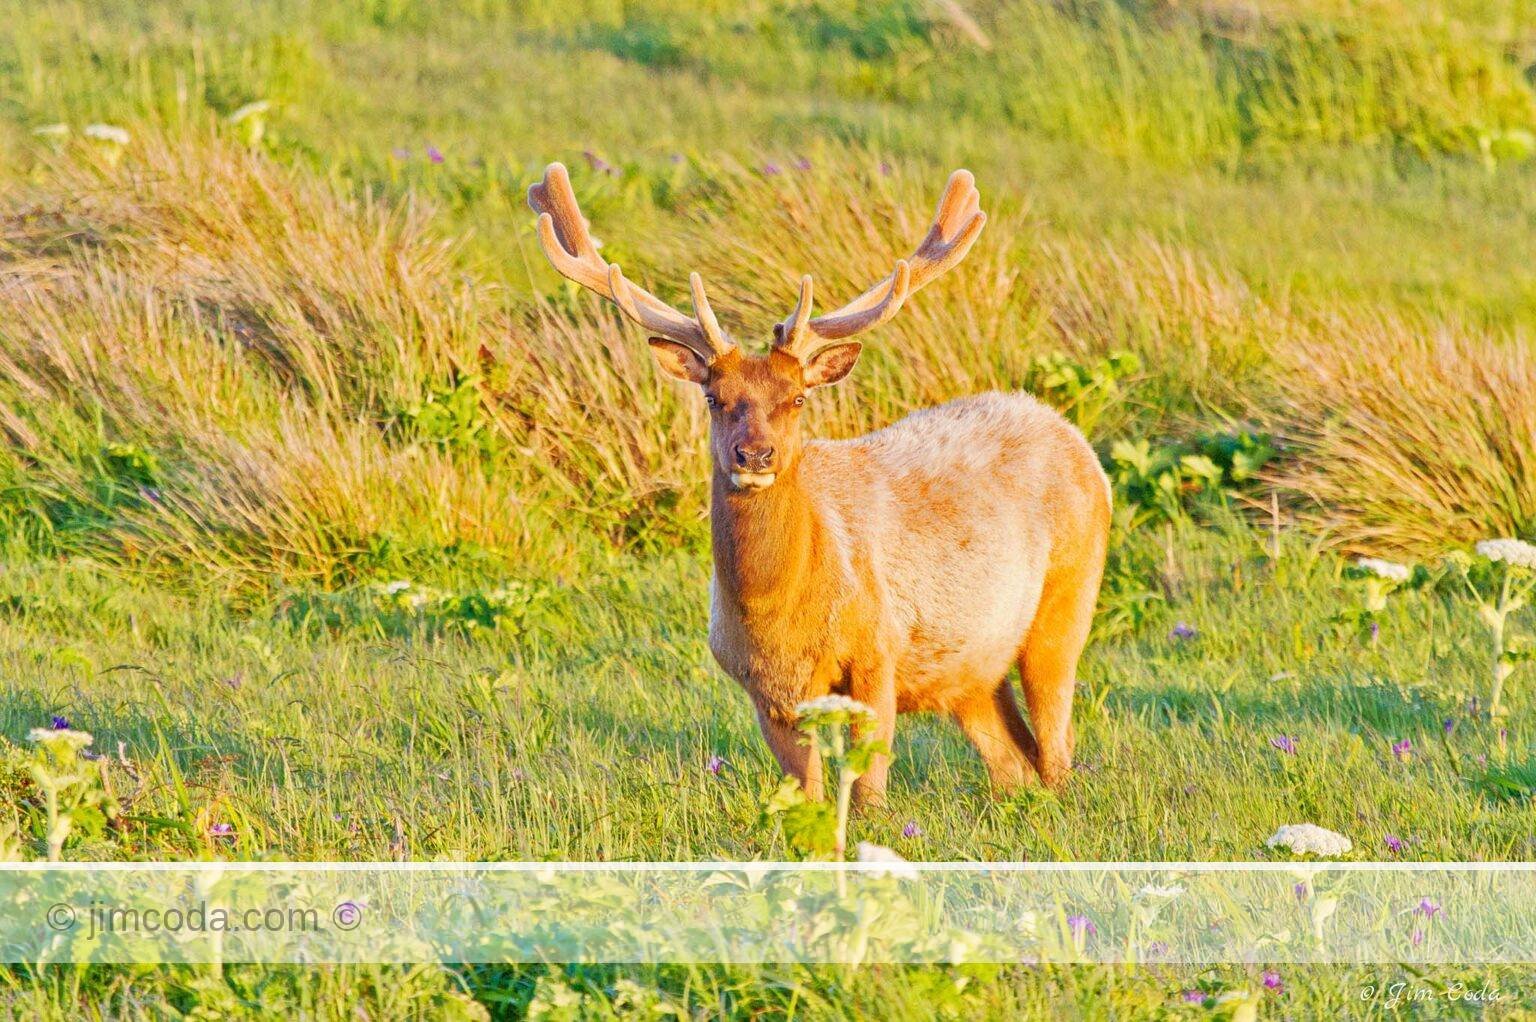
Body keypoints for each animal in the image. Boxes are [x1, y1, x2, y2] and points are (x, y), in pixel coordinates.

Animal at [528, 162, 1111, 806]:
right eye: (714, 398)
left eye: (798, 398)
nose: (755, 453)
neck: (780, 615)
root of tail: (1074, 438)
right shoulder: (765, 692)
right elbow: (803, 794)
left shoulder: (878, 652)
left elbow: (869, 790)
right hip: (971, 668)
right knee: (1014, 761)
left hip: (1068, 596)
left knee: (1056, 743)